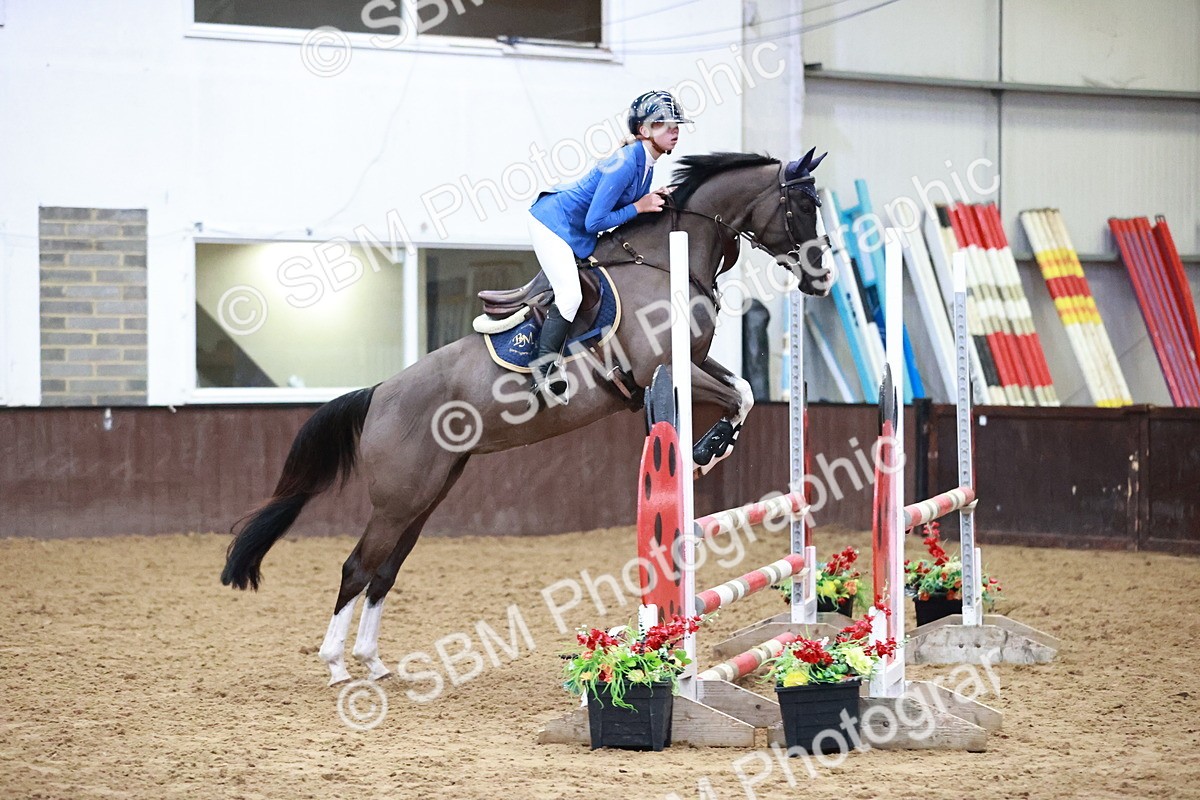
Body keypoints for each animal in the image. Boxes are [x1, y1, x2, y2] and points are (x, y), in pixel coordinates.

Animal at [221, 148, 830, 685]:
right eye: (803, 205)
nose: (820, 278)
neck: (666, 261)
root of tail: (378, 394)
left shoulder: (694, 362)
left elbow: (744, 390)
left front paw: (710, 448)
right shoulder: (659, 369)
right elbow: (732, 397)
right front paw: (706, 449)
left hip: (427, 494)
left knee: (385, 571)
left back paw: (373, 663)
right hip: (398, 499)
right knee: (358, 567)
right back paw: (337, 665)